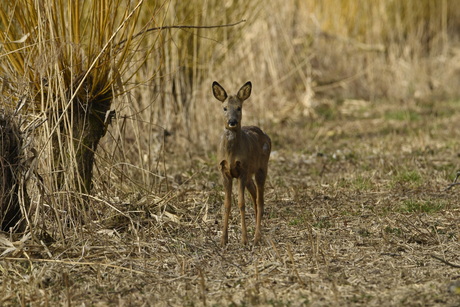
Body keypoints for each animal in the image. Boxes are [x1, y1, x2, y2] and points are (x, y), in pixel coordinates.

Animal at [213, 80, 274, 247]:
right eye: (224, 107)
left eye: (239, 107)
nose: (232, 122)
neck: (231, 155)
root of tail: (266, 135)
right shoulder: (224, 171)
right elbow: (227, 204)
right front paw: (223, 239)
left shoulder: (242, 170)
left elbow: (241, 203)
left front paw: (244, 239)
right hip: (249, 176)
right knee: (254, 196)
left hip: (261, 168)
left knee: (260, 200)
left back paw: (257, 237)